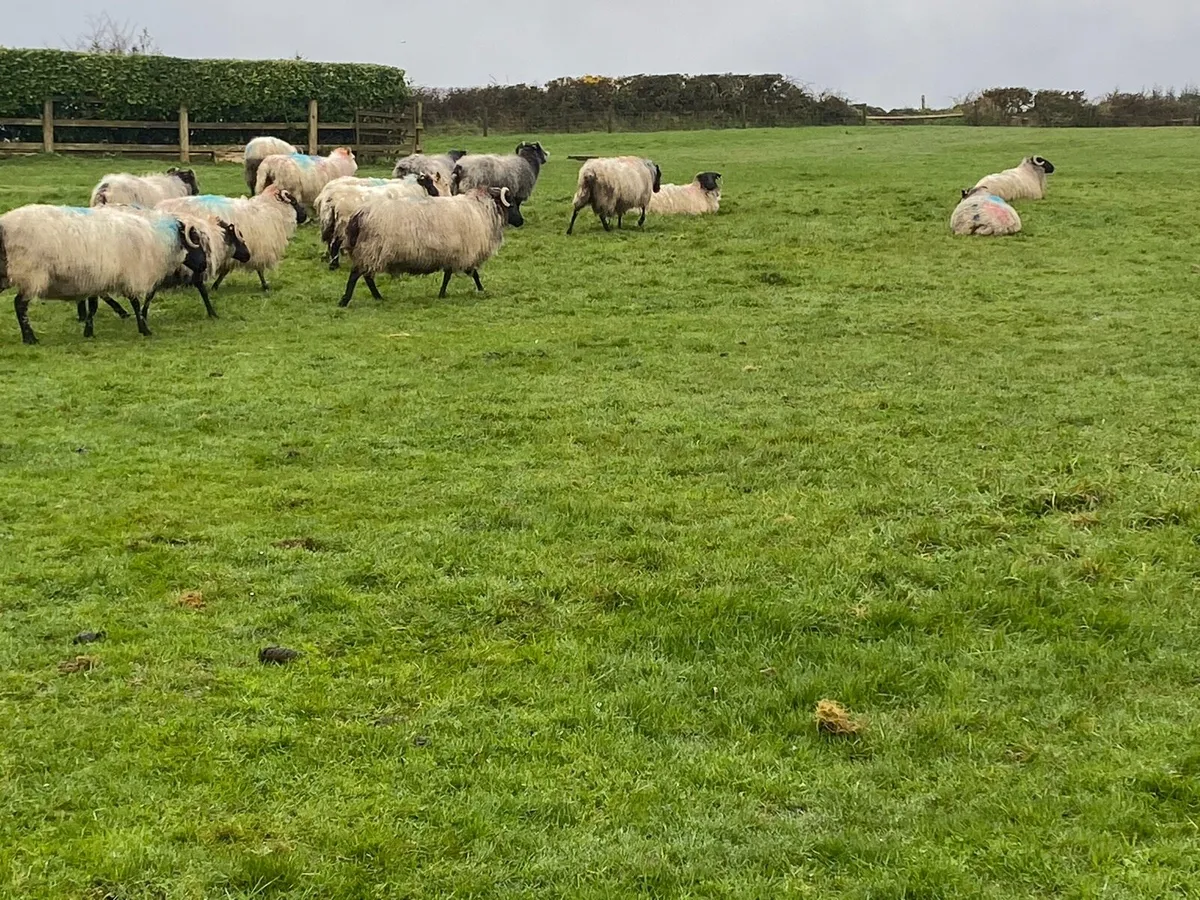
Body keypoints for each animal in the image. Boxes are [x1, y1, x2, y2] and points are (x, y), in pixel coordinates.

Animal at [0, 204, 207, 344]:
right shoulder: (129, 274)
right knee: (19, 305)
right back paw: (30, 338)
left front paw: (88, 332)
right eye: (195, 239)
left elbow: (93, 307)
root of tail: (4, 224)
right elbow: (135, 303)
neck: (158, 239)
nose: (204, 265)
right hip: (30, 273)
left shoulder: (98, 279)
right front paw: (144, 329)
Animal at [158, 184, 307, 291]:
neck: (271, 210)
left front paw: (215, 286)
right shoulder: (257, 249)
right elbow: (259, 270)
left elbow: (225, 270)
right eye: (294, 201)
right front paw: (265, 286)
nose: (305, 216)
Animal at [338, 185, 522, 306]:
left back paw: (378, 297)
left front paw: (442, 294)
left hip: (369, 251)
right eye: (511, 203)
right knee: (357, 275)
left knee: (367, 277)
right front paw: (482, 290)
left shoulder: (453, 253)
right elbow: (473, 274)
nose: (521, 221)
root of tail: (359, 215)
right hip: (371, 250)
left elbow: (449, 275)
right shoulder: (465, 252)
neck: (482, 209)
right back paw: (346, 300)